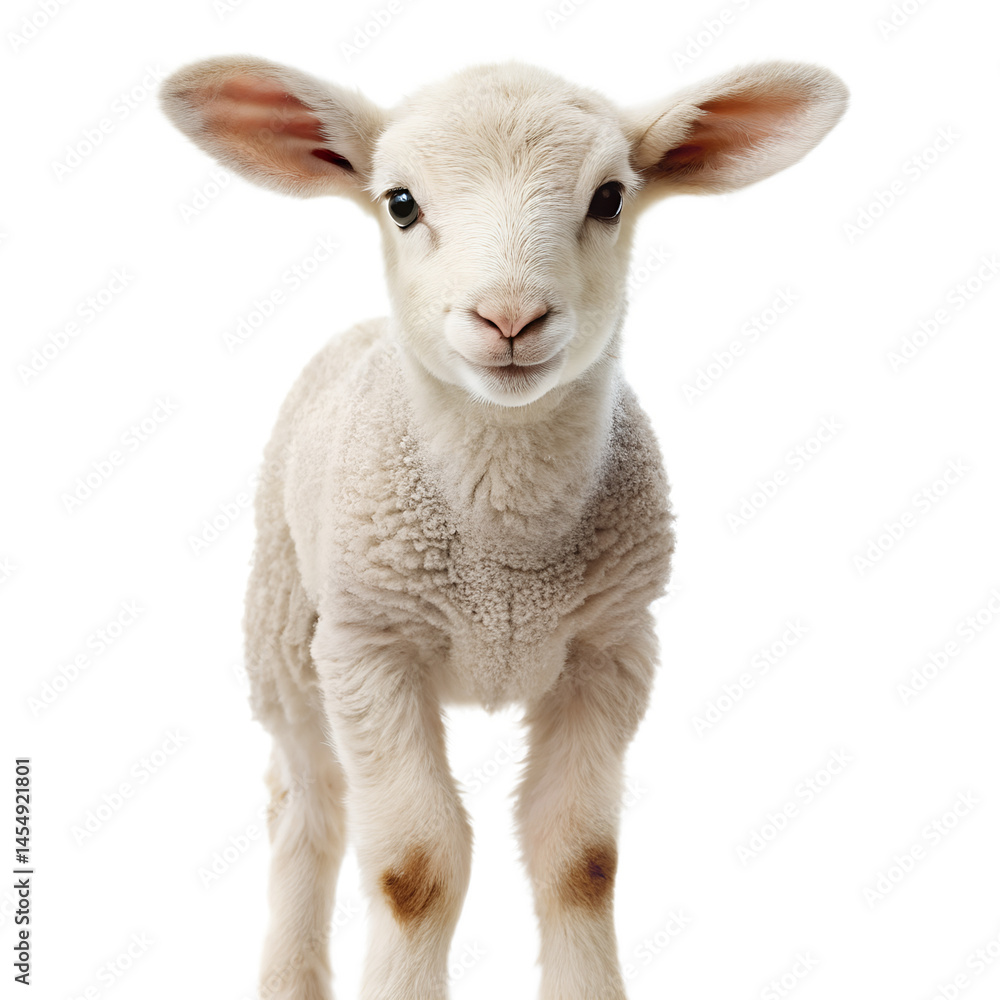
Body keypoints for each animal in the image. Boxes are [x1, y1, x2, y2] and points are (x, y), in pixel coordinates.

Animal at [160, 56, 847, 1000]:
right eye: (400, 202)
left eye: (610, 198)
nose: (510, 319)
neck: (508, 546)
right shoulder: (371, 649)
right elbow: (415, 869)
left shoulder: (611, 648)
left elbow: (581, 860)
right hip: (286, 631)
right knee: (305, 807)